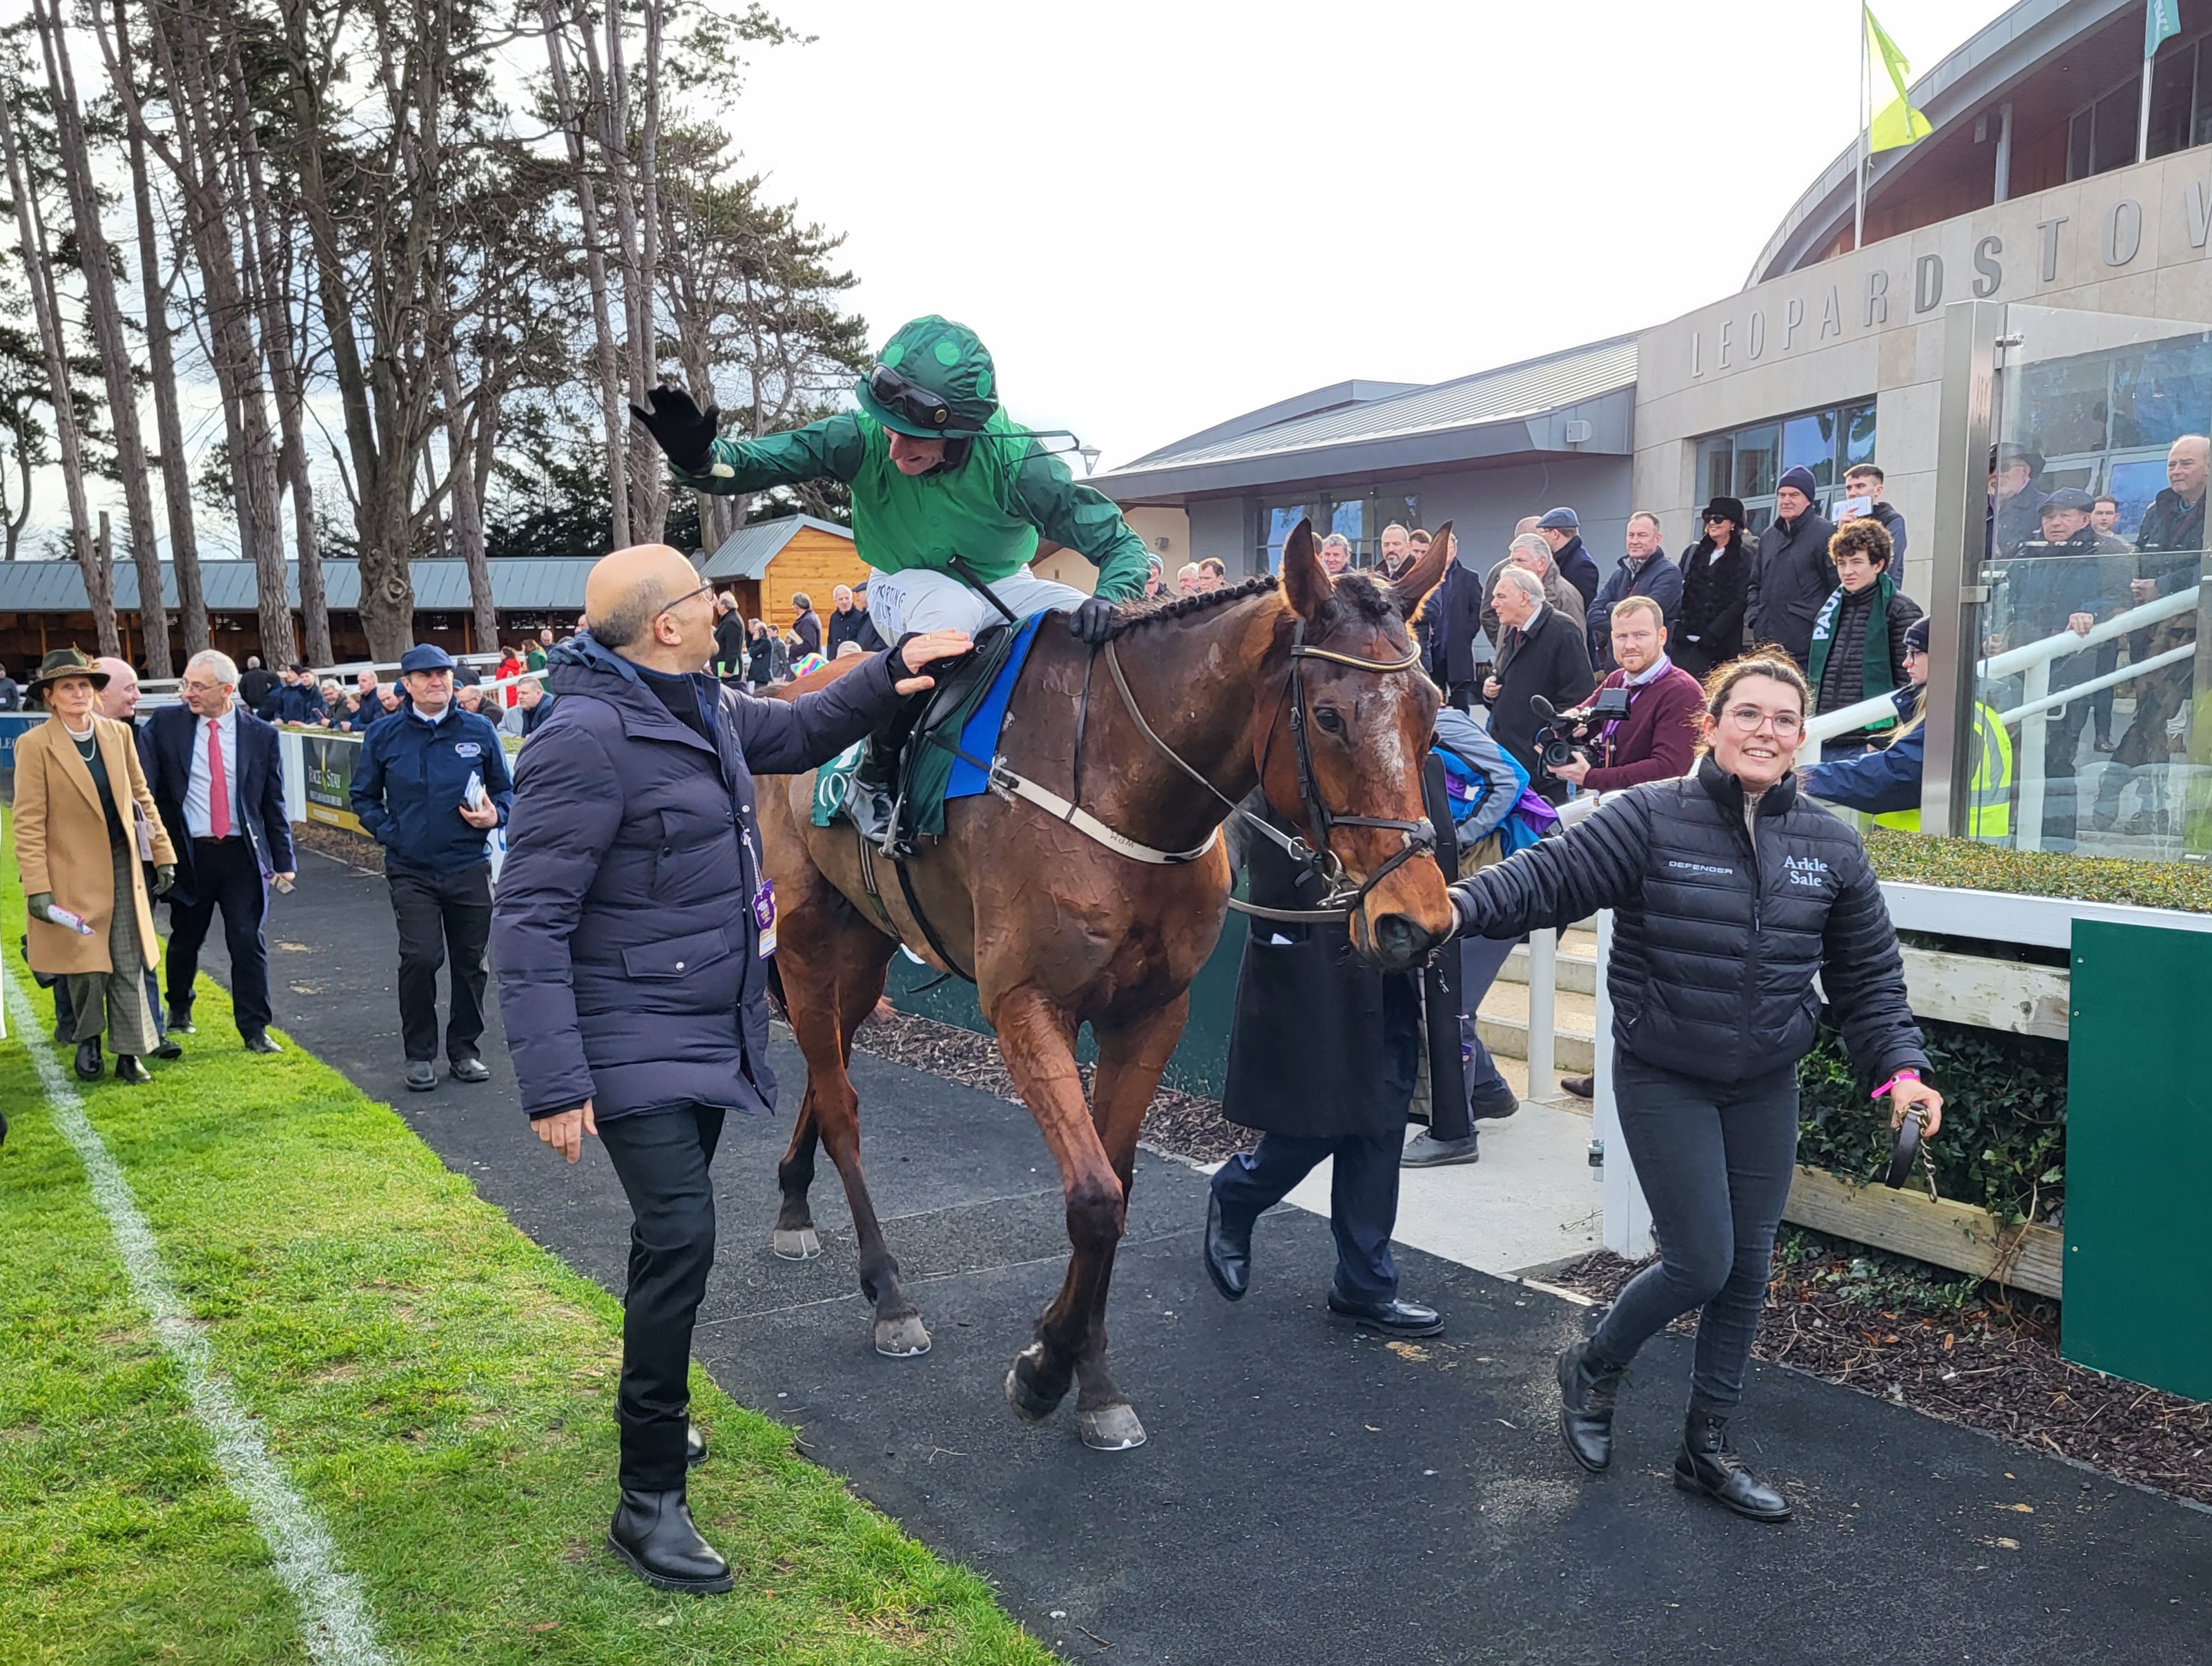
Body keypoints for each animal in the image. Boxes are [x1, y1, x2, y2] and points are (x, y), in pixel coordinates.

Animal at [752, 520, 1459, 1442]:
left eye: (1434, 710)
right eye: (1330, 715)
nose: (1418, 922)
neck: (1122, 789)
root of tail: (781, 689)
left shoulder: (1153, 1011)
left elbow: (1117, 1182)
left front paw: (1090, 1373)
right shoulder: (1024, 1004)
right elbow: (1091, 1196)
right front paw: (1046, 1367)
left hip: (867, 944)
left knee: (825, 1061)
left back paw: (795, 1200)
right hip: (804, 936)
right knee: (839, 1101)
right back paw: (889, 1291)